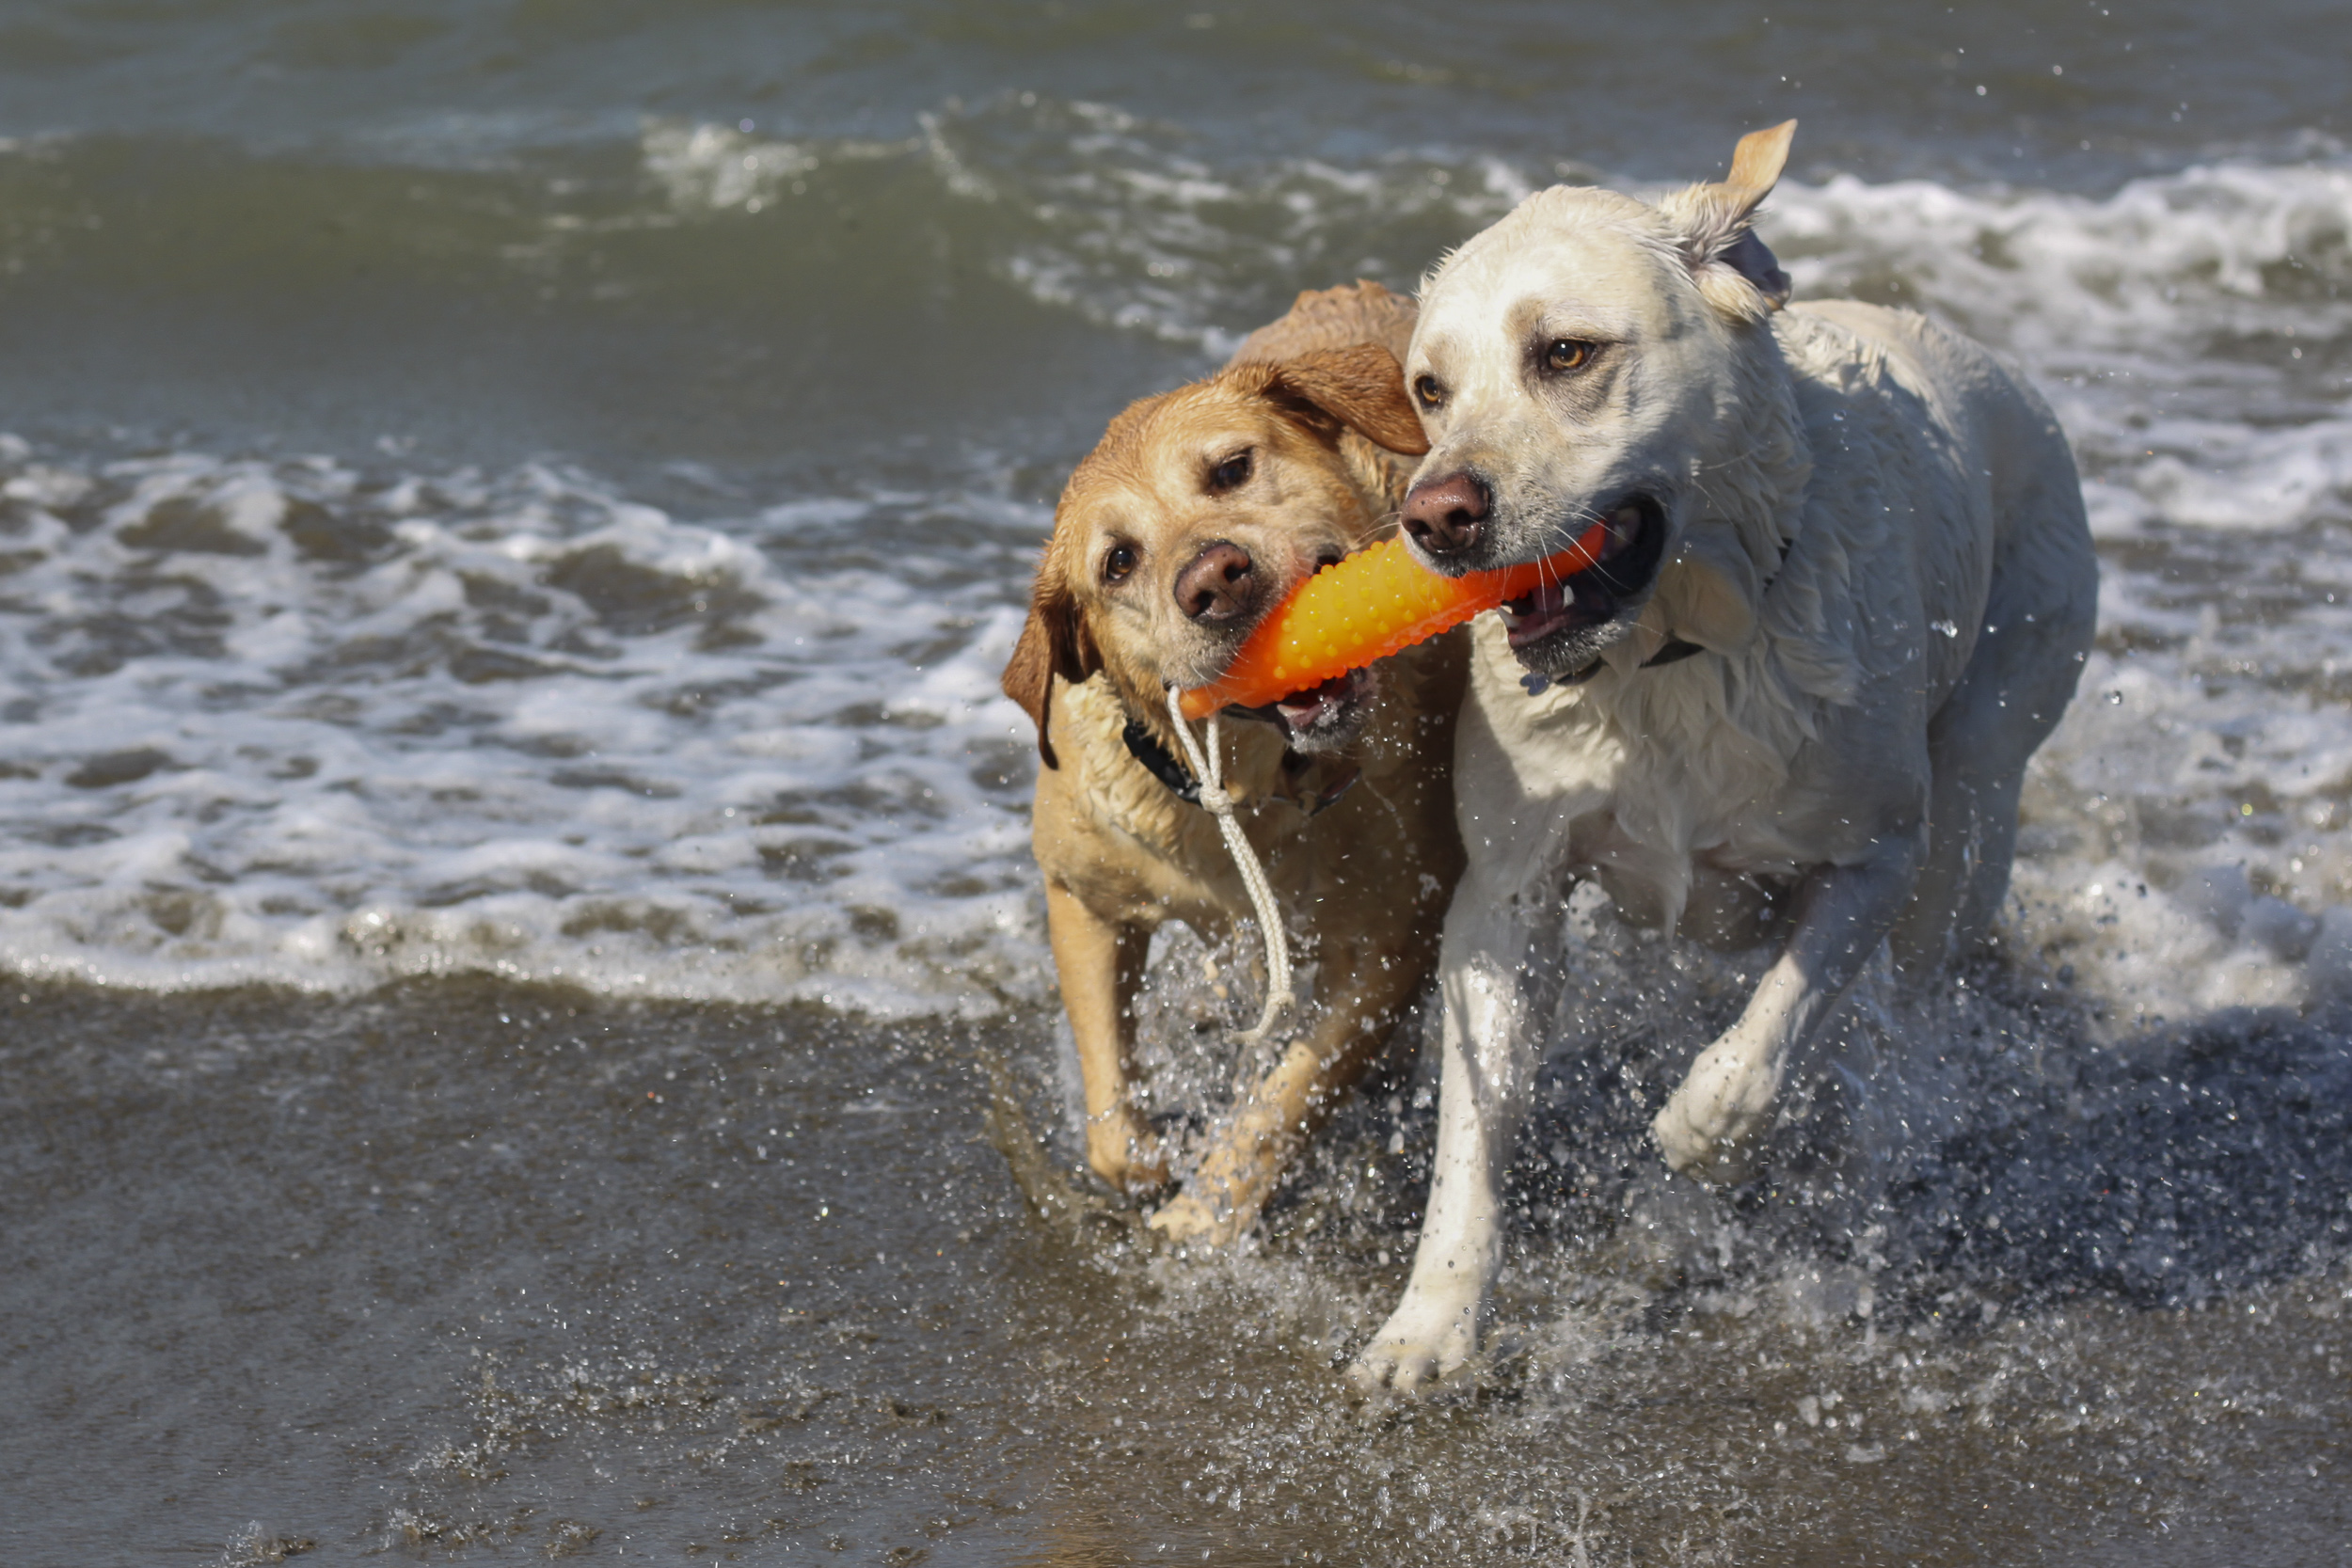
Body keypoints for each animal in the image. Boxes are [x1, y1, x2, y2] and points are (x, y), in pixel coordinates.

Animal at [1007, 278, 1468, 1241]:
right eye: (1117, 562)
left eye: (1230, 469)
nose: (1214, 578)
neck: (1254, 787)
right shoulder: (1081, 896)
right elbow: (1110, 1106)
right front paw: (1147, 1166)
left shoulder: (1399, 933)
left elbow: (1290, 1092)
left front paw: (1205, 1213)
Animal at [1355, 125, 2107, 1401]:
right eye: (1430, 390)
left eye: (1565, 352)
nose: (1434, 514)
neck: (1671, 657)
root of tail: (1996, 365)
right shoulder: (1505, 895)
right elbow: (1474, 1126)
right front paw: (1431, 1324)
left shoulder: (1875, 854)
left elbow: (1772, 1032)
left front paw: (1702, 1132)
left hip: (1978, 789)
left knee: (1906, 1008)